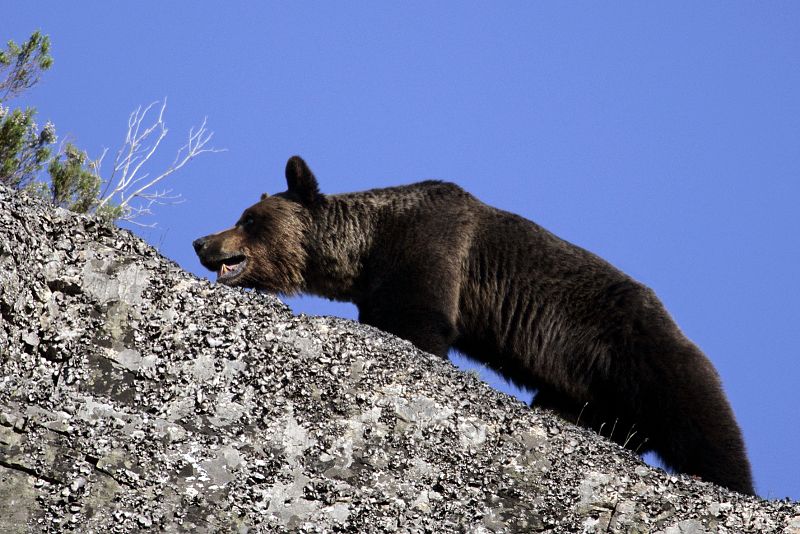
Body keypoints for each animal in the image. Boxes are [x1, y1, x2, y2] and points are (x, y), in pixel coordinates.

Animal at [194, 157, 756, 496]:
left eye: (248, 218)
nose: (202, 241)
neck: (367, 248)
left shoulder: (430, 249)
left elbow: (420, 324)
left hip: (641, 353)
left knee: (704, 423)